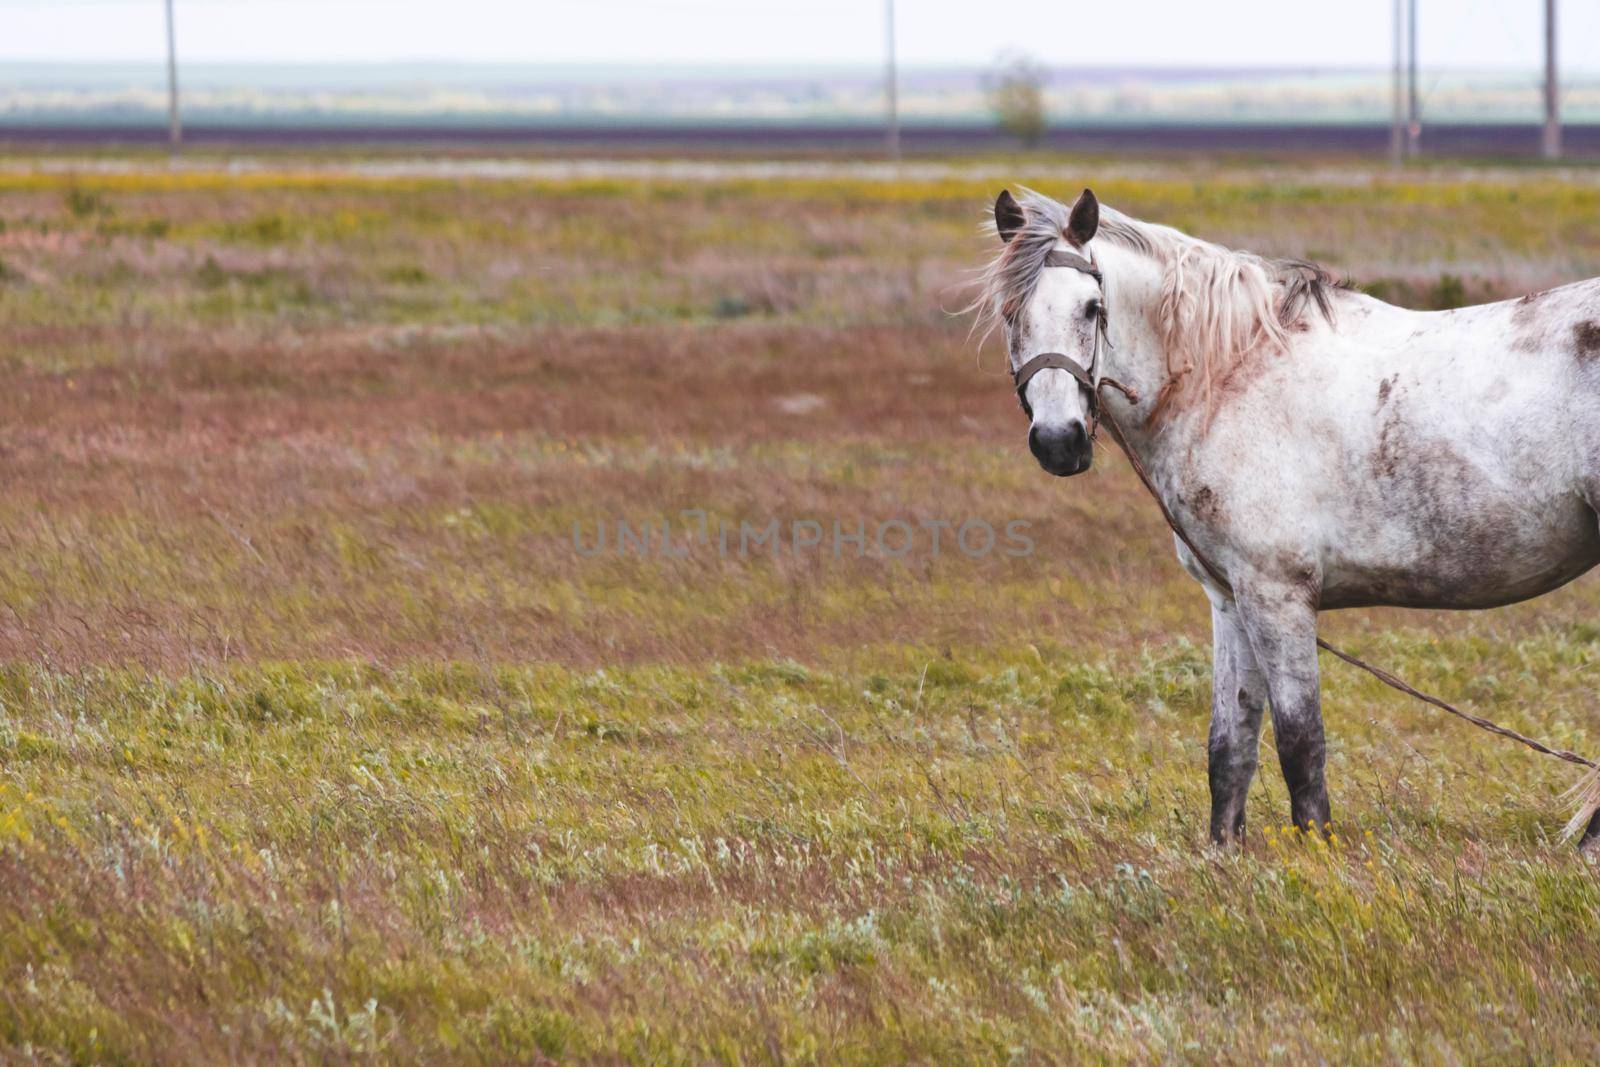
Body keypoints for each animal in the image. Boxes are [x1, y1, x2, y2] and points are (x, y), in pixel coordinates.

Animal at [972, 183, 1600, 851]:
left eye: (1092, 308)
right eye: (1009, 313)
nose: (1058, 441)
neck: (1229, 375)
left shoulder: (1278, 596)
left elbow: (1300, 742)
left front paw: (1316, 852)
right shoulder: (1230, 599)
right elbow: (1230, 746)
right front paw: (1224, 854)